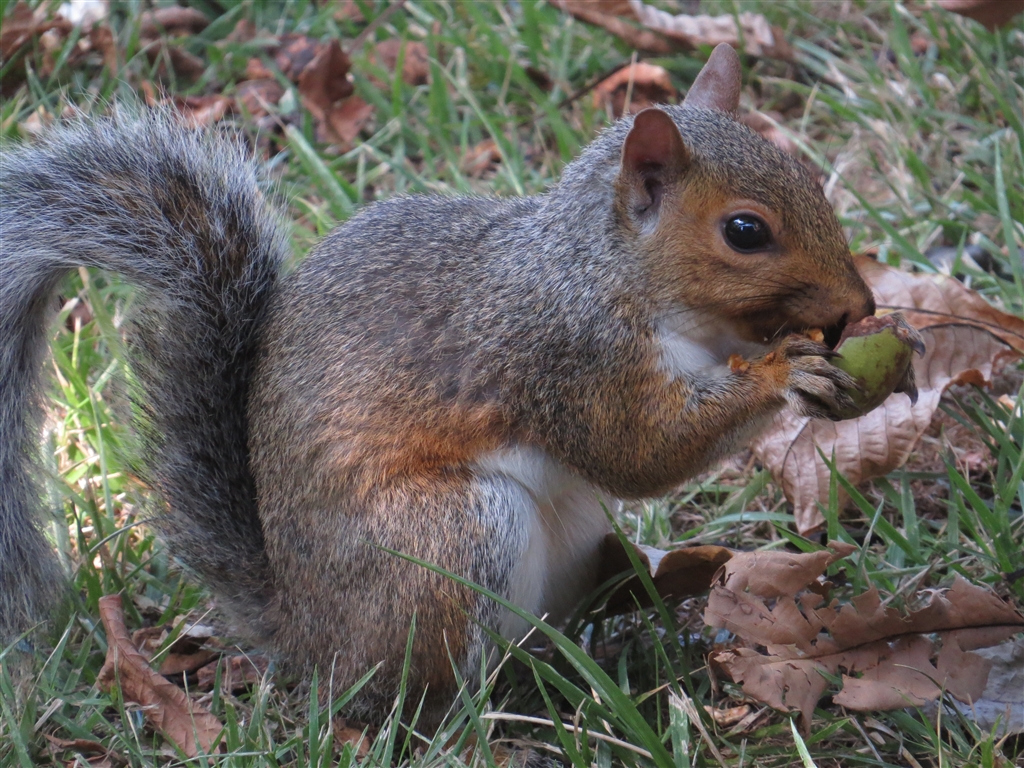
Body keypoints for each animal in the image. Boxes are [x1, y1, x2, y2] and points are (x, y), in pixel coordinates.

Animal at [4, 45, 876, 729]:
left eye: (809, 177)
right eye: (745, 231)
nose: (861, 307)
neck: (605, 272)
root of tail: (308, 634)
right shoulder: (566, 354)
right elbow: (636, 452)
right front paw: (785, 374)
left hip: (567, 538)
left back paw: (633, 642)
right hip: (450, 538)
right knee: (415, 694)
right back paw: (490, 714)